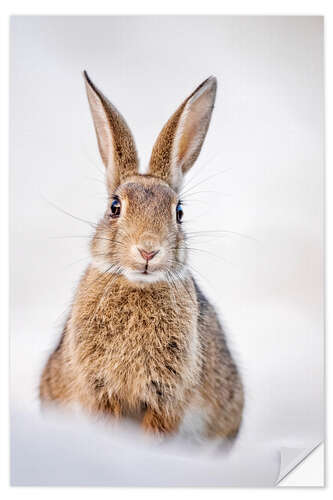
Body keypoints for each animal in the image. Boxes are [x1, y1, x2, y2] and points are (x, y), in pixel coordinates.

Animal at [40, 72, 244, 440]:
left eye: (178, 212)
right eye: (114, 207)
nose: (148, 250)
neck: (138, 286)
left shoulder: (168, 394)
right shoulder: (99, 387)